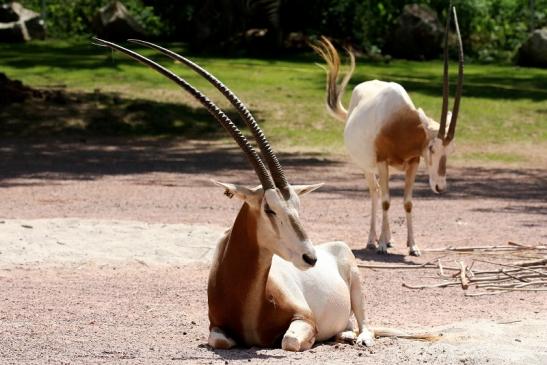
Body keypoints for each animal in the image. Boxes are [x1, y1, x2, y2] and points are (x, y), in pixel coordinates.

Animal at [94, 38, 434, 352]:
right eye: (270, 209)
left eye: (297, 205)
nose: (310, 258)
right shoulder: (215, 326)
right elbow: (221, 341)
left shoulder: (305, 319)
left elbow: (289, 342)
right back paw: (343, 334)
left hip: (356, 283)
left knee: (366, 325)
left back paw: (357, 337)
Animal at [314, 5, 464, 256]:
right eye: (432, 148)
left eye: (451, 150)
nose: (440, 187)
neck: (401, 124)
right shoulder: (382, 161)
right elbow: (385, 200)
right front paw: (382, 245)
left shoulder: (412, 162)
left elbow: (407, 202)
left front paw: (412, 246)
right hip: (368, 166)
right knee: (375, 192)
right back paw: (373, 240)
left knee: (382, 191)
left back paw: (389, 237)